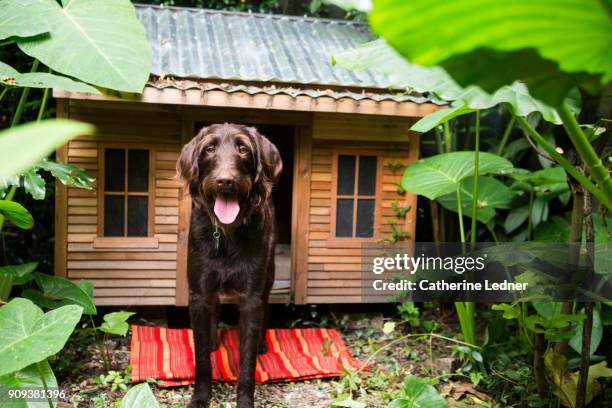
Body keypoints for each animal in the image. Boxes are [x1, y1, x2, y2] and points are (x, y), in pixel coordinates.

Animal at [176, 122, 284, 406]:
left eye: (243, 149)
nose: (226, 181)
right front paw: (200, 397)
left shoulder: (250, 298)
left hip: (268, 277)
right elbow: (202, 357)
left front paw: (244, 400)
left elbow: (246, 363)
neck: (226, 233)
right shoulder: (199, 293)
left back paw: (261, 344)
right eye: (209, 149)